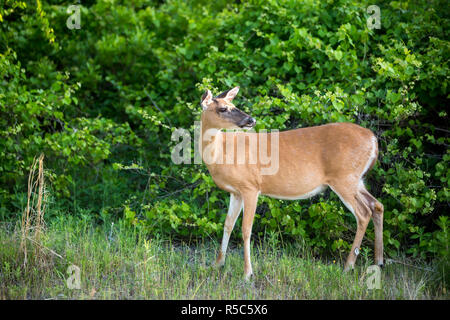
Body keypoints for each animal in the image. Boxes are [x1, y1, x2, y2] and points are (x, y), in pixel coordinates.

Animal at [200, 85, 384, 280]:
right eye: (223, 108)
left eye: (233, 105)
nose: (251, 120)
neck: (222, 153)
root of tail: (373, 139)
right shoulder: (235, 192)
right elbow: (228, 225)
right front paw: (217, 264)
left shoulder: (251, 186)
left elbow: (246, 229)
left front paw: (247, 273)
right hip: (356, 180)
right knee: (377, 205)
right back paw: (379, 261)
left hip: (344, 178)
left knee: (363, 213)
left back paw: (348, 266)